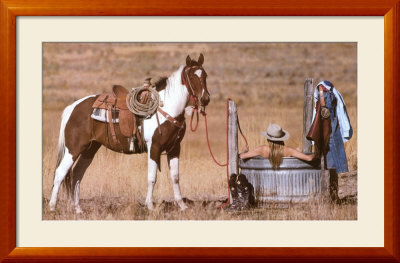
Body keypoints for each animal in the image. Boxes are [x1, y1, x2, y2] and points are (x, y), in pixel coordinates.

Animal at [49, 54, 209, 213]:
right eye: (192, 77)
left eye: (205, 76)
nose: (205, 99)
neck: (166, 107)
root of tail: (73, 107)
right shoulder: (154, 147)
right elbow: (152, 177)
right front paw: (150, 206)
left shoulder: (175, 148)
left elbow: (175, 177)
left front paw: (182, 206)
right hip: (73, 149)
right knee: (60, 173)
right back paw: (52, 207)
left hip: (90, 149)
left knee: (77, 174)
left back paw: (78, 209)